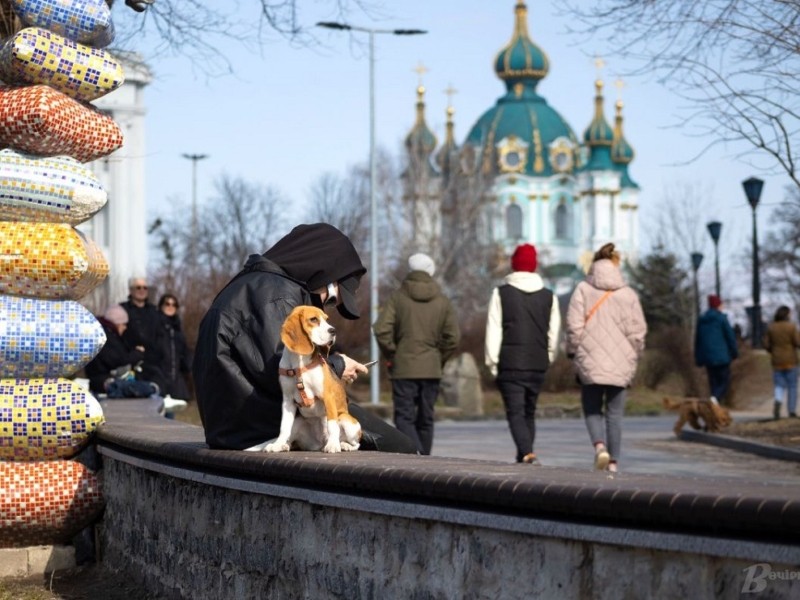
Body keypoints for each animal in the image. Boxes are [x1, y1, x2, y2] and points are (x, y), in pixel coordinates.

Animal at [264, 308, 360, 452]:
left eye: (326, 319)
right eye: (313, 319)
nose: (333, 331)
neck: (299, 364)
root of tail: (320, 443)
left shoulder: (328, 396)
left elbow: (332, 425)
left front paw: (333, 445)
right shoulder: (287, 401)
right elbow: (284, 427)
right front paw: (277, 444)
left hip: (347, 421)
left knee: (355, 443)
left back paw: (343, 445)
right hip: (298, 422)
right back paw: (285, 445)